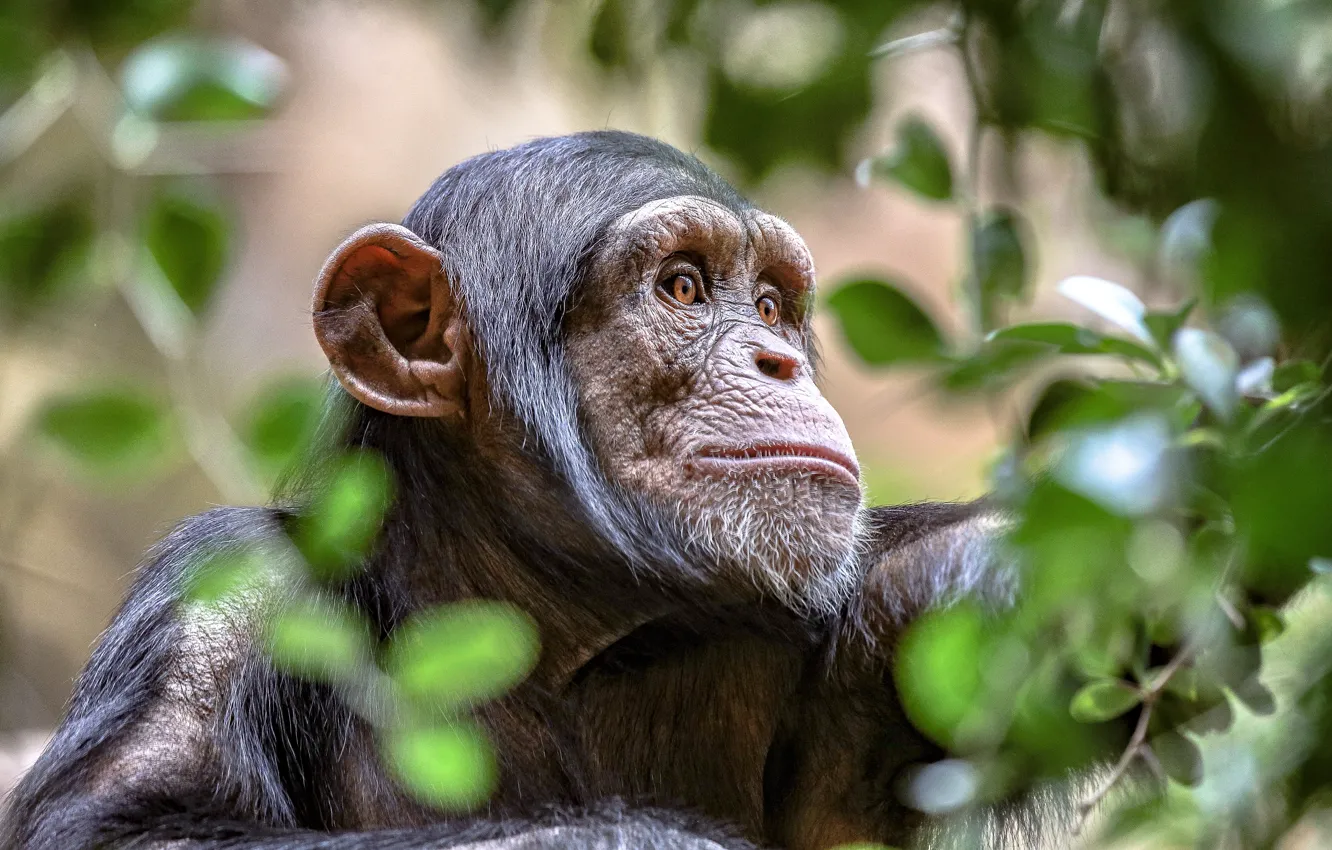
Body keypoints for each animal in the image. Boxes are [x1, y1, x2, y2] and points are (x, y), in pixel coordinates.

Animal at [0, 131, 1026, 850]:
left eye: (771, 305)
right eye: (684, 288)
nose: (778, 361)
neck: (547, 628)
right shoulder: (220, 589)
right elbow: (130, 819)